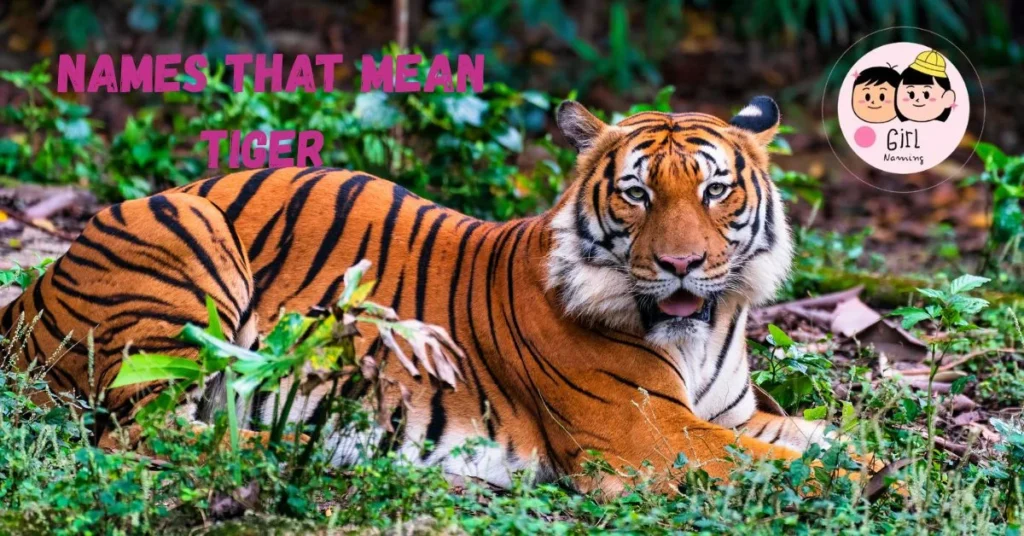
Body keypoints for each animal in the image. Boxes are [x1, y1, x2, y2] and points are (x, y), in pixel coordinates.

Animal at [0, 96, 832, 495]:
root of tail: (33, 288)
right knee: (149, 434)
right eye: (636, 193)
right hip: (188, 243)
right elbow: (795, 465)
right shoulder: (651, 436)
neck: (702, 329)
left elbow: (819, 440)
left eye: (715, 190)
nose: (683, 264)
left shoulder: (730, 417)